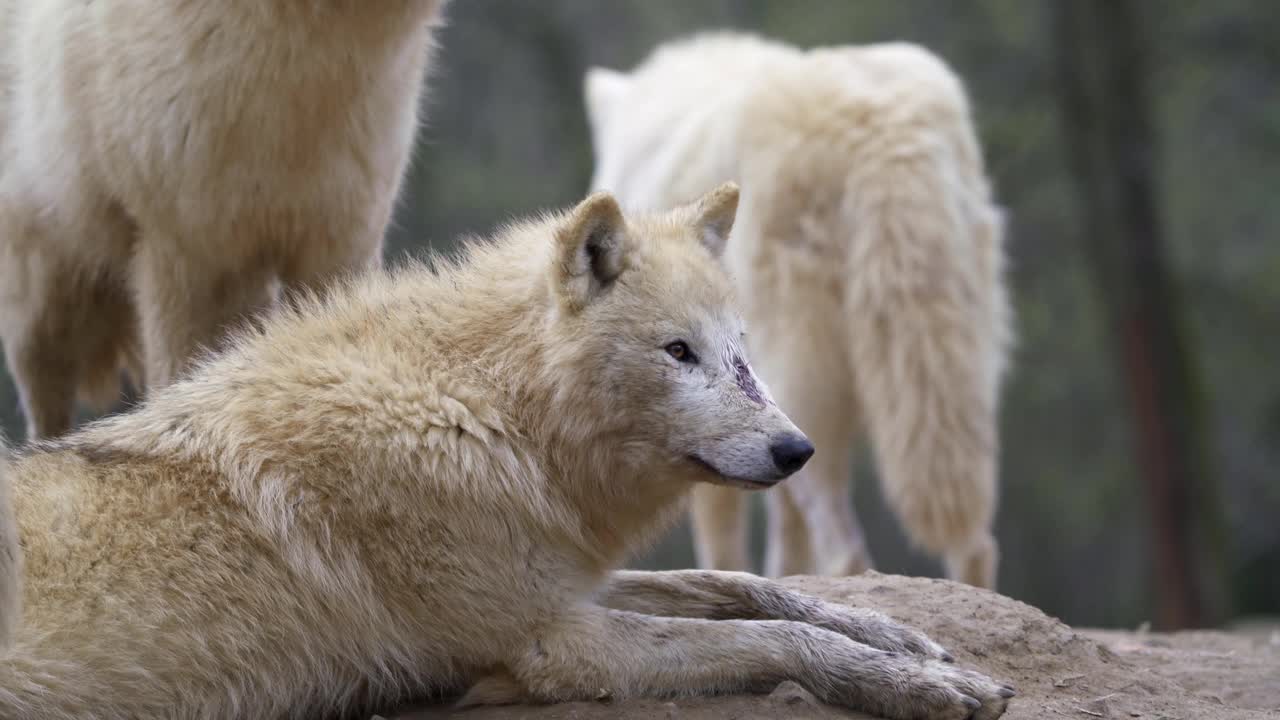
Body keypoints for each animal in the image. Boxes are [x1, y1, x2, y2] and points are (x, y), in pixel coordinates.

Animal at [0, 181, 1013, 712]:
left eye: (740, 354)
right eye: (677, 353)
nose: (795, 449)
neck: (486, 412)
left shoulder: (558, 579)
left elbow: (745, 590)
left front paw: (904, 640)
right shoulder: (555, 644)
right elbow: (763, 633)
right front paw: (915, 685)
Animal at [586, 30, 1013, 586]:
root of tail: (879, 133)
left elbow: (721, 527)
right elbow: (785, 521)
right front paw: (780, 581)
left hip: (801, 371)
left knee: (845, 547)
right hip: (958, 368)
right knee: (975, 540)